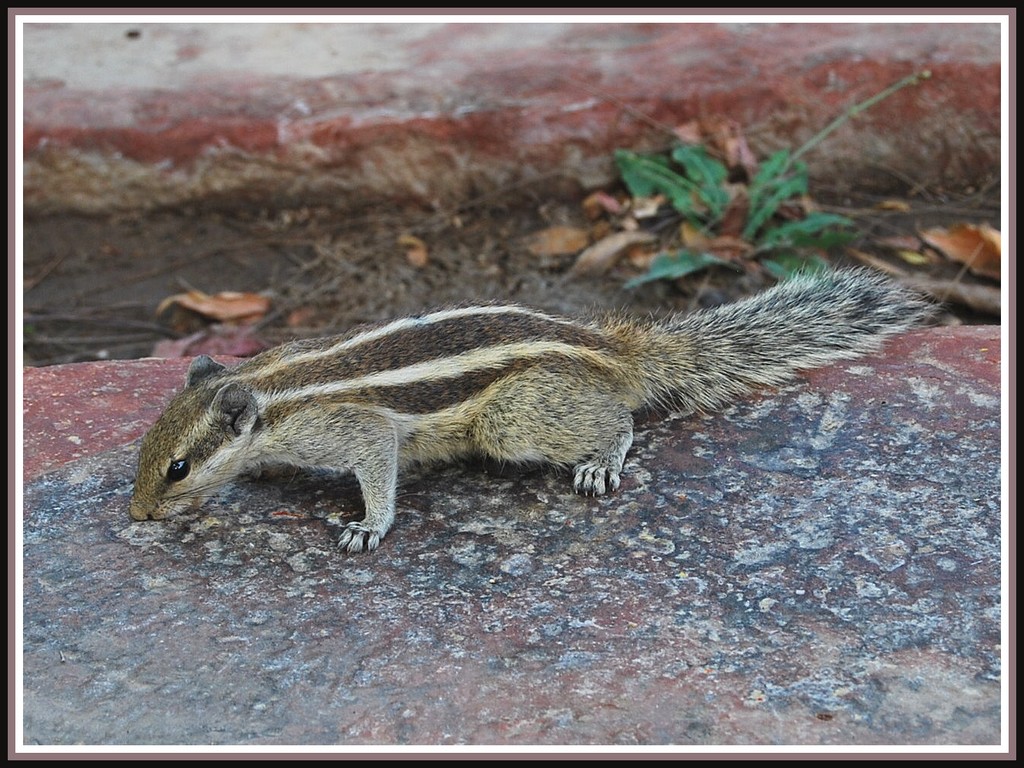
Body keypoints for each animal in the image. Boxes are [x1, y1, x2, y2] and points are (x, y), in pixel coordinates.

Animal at [130, 268, 937, 552]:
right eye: (145, 456)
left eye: (177, 469)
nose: (136, 514)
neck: (273, 388)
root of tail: (616, 348)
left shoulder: (354, 429)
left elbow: (379, 465)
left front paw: (368, 525)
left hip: (512, 417)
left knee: (620, 419)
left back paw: (600, 461)